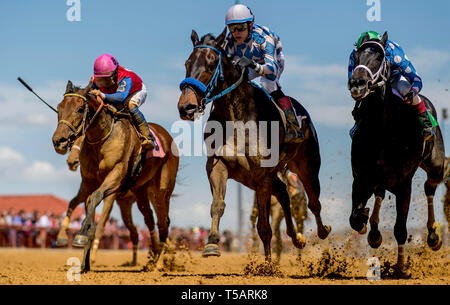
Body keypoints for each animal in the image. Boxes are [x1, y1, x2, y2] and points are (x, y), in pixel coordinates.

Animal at [51, 79, 178, 270]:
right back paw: (153, 259)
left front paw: (81, 237)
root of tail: (167, 137)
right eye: (59, 107)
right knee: (149, 220)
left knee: (163, 223)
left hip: (161, 193)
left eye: (80, 109)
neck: (102, 139)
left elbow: (95, 202)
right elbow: (82, 203)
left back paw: (159, 264)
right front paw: (83, 259)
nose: (59, 141)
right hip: (140, 193)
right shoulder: (88, 182)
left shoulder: (116, 178)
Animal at [177, 29, 330, 262]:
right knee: (283, 192)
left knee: (313, 201)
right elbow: (217, 205)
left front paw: (267, 264)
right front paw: (211, 244)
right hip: (255, 178)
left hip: (307, 167)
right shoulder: (219, 164)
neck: (236, 118)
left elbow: (264, 227)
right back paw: (296, 238)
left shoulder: (261, 174)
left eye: (211, 64)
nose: (186, 107)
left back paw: (321, 231)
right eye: (187, 63)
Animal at [346, 32, 444, 276]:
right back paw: (373, 232)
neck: (384, 128)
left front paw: (400, 267)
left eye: (380, 57)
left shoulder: (403, 182)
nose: (357, 83)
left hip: (436, 166)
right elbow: (355, 218)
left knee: (429, 187)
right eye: (356, 56)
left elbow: (400, 228)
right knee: (380, 193)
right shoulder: (360, 177)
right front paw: (366, 223)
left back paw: (433, 236)